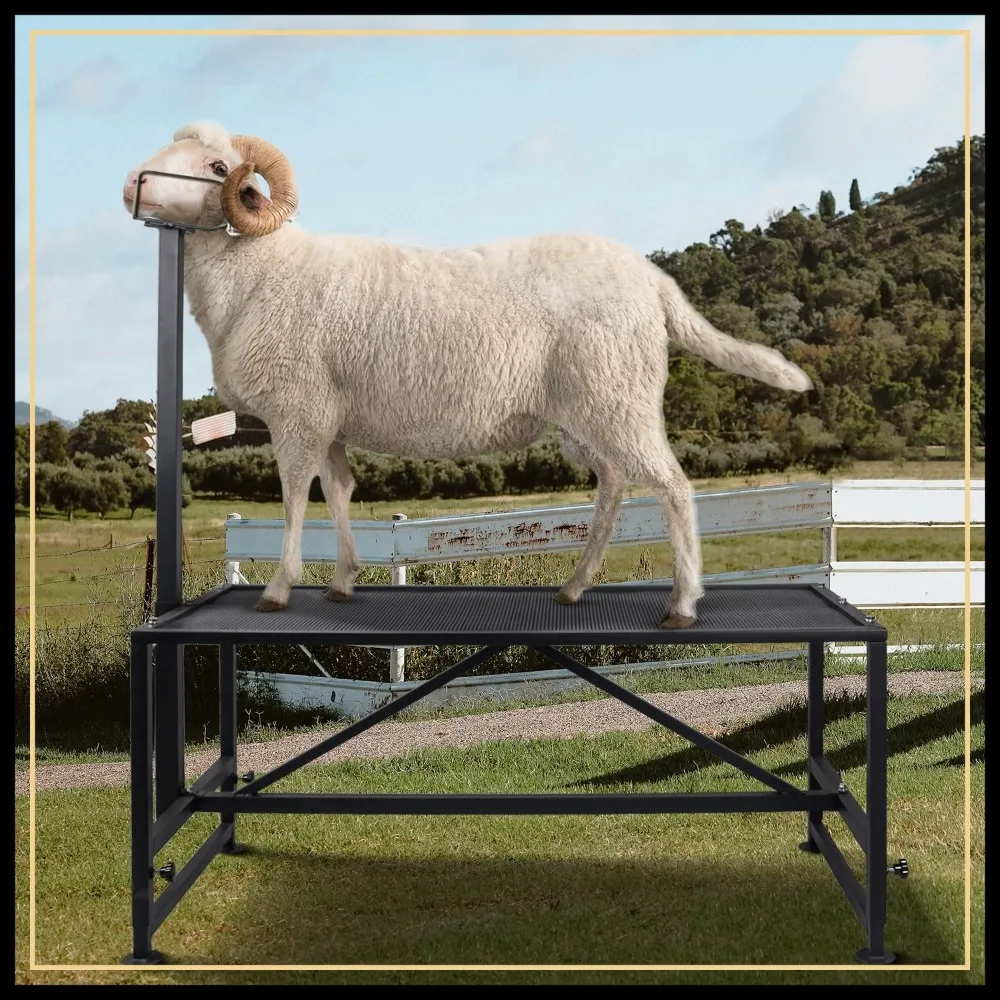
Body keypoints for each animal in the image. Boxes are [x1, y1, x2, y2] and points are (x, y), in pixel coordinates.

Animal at [122, 121, 813, 628]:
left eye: (219, 168)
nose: (133, 181)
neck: (259, 268)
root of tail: (654, 281)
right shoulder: (330, 419)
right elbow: (339, 491)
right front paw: (343, 581)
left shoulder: (298, 412)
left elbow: (295, 497)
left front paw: (278, 588)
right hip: (589, 412)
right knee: (614, 485)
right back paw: (574, 587)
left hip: (619, 398)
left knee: (672, 486)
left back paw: (682, 605)